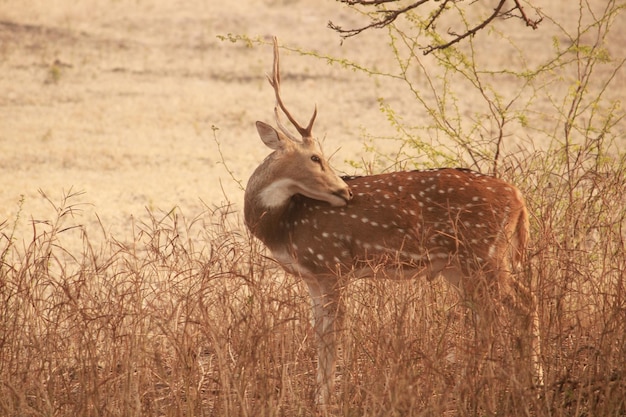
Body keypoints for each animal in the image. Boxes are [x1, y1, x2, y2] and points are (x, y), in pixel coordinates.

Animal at [244, 37, 540, 404]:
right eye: (315, 157)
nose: (346, 191)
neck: (283, 226)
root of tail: (518, 196)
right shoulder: (313, 277)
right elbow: (318, 335)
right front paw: (318, 397)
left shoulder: (333, 264)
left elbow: (332, 336)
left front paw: (326, 399)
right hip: (461, 266)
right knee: (503, 310)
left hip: (485, 255)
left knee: (513, 307)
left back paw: (498, 385)